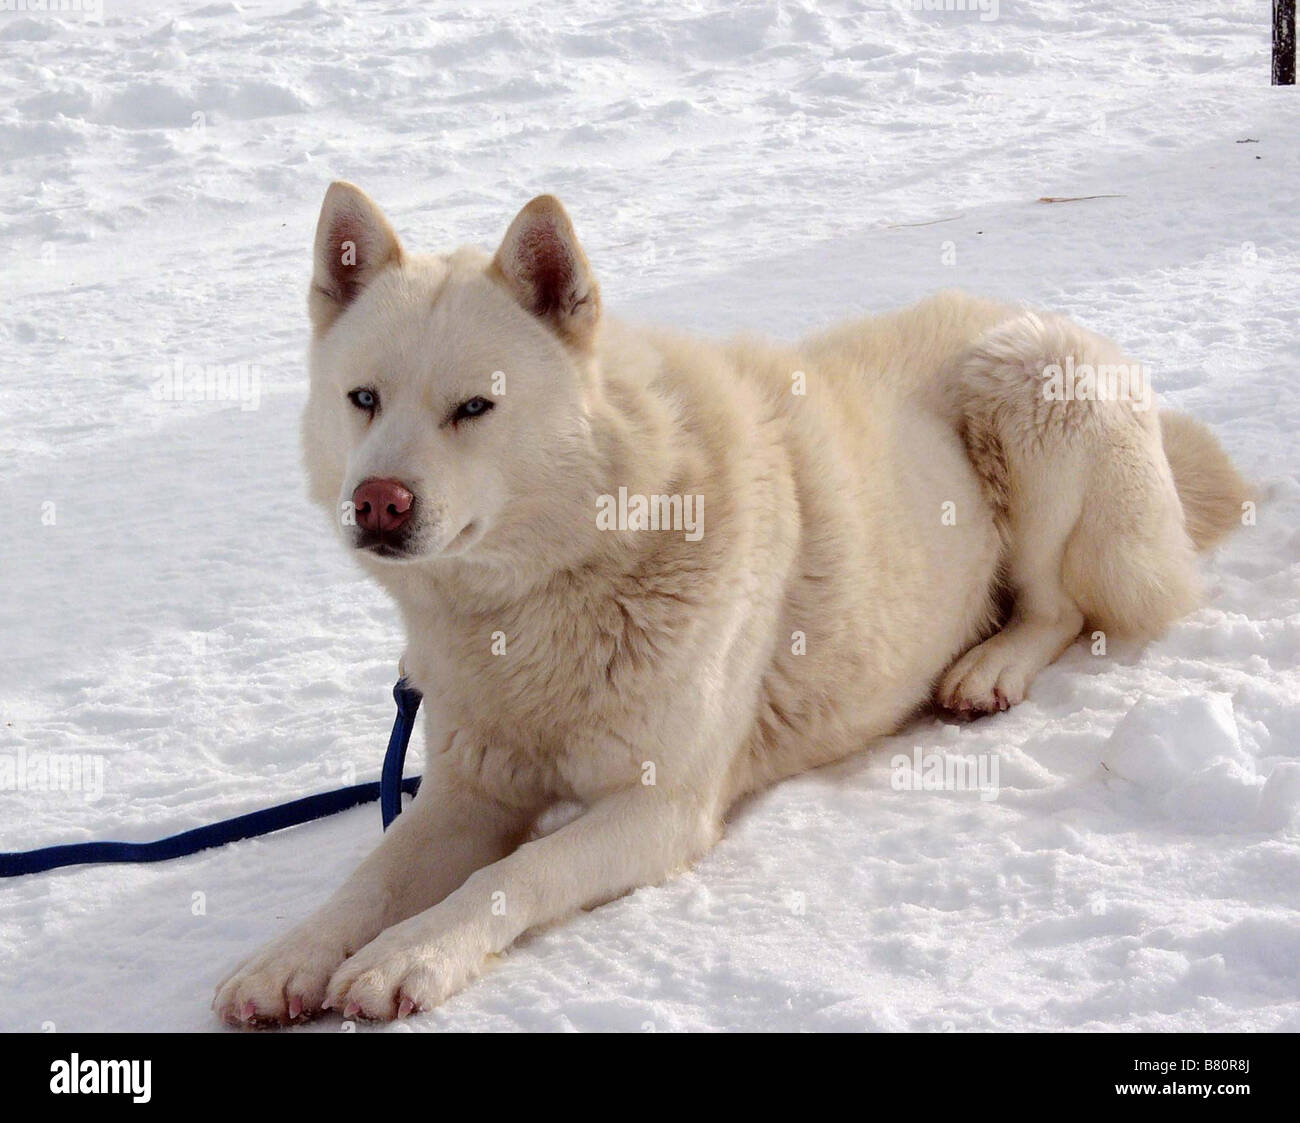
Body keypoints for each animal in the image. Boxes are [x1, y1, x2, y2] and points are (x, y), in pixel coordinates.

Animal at [215, 184, 1248, 1024]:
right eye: (363, 398)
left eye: (476, 407)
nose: (377, 502)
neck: (557, 584)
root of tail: (1034, 313)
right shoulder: (472, 788)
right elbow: (371, 877)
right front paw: (289, 957)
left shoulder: (661, 807)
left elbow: (513, 875)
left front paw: (409, 955)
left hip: (1027, 393)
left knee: (1061, 608)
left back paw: (987, 667)